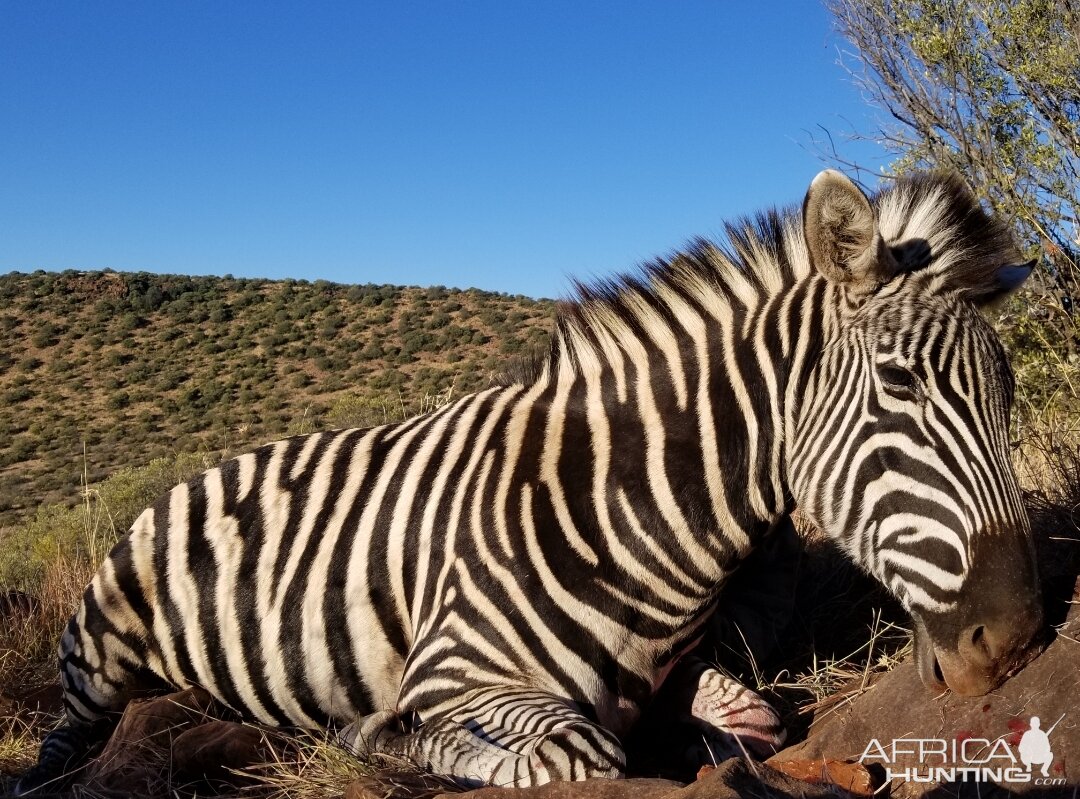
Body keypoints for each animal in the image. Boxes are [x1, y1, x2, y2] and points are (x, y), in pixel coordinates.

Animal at [16, 170, 1045, 794]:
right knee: (67, 741)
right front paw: (379, 737)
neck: (636, 513)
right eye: (901, 385)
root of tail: (195, 473)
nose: (1016, 636)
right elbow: (574, 749)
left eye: (1006, 391)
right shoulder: (451, 668)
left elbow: (746, 711)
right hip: (98, 654)